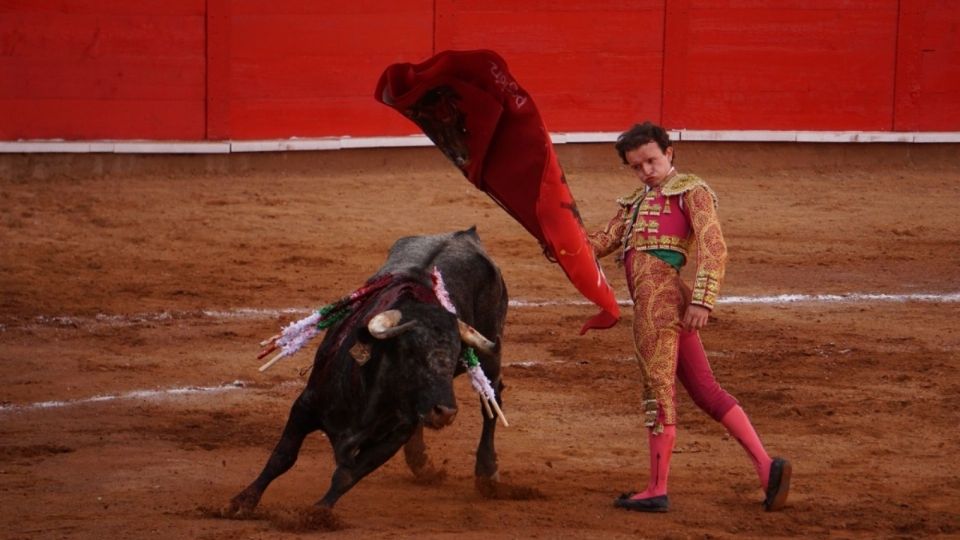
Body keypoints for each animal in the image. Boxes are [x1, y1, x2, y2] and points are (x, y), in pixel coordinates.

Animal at [226, 226, 510, 512]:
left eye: (455, 357)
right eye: (410, 352)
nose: (445, 412)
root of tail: (466, 234)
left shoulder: (395, 435)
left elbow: (347, 475)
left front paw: (318, 512)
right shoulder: (305, 405)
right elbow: (282, 457)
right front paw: (242, 502)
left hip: (489, 357)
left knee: (491, 398)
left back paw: (487, 474)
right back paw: (422, 463)